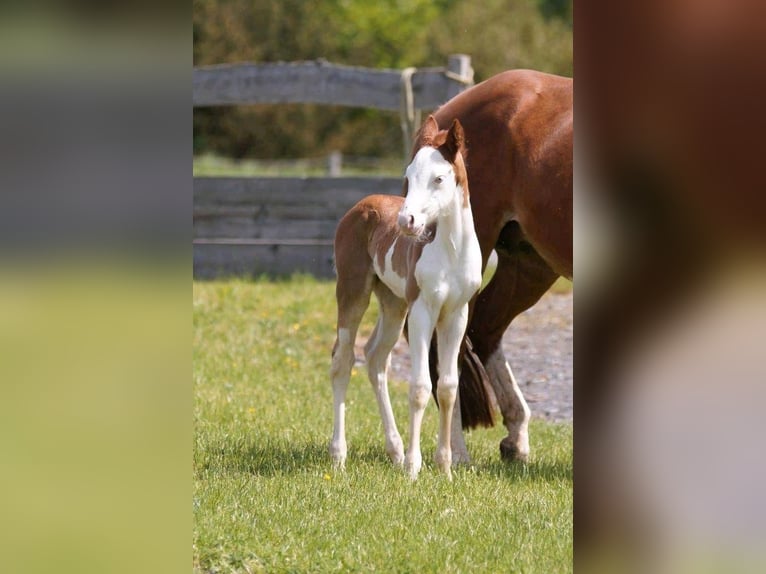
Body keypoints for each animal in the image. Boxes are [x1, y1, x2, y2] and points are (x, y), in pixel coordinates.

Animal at [328, 118, 480, 482]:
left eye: (438, 178)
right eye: (409, 176)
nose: (405, 222)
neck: (451, 250)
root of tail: (359, 207)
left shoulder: (456, 314)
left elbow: (448, 387)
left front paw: (445, 467)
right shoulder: (423, 310)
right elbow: (420, 387)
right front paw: (414, 468)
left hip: (393, 304)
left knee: (374, 358)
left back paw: (394, 450)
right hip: (353, 292)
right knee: (343, 360)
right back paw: (339, 455)